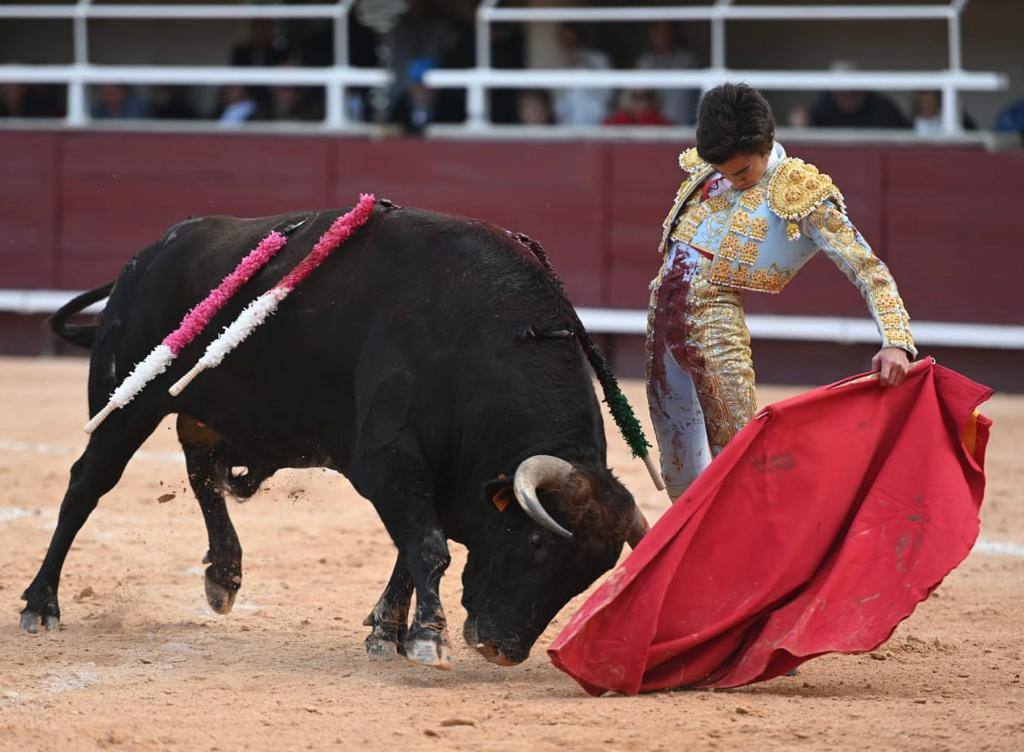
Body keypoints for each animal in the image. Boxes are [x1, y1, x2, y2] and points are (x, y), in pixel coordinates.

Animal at [19, 201, 647, 672]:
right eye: (537, 543)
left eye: (590, 574)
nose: (502, 648)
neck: (481, 338)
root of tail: (145, 257)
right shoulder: (387, 457)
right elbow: (428, 545)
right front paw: (426, 638)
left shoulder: (443, 473)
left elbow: (414, 546)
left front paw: (387, 631)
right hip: (125, 403)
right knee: (86, 486)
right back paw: (41, 604)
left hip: (210, 411)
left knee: (202, 471)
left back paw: (224, 575)